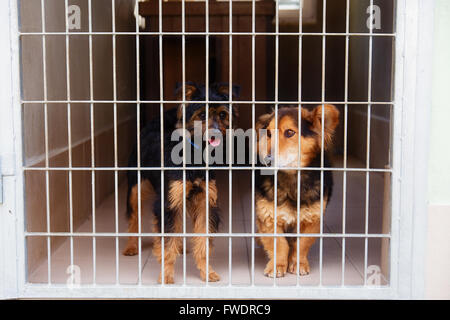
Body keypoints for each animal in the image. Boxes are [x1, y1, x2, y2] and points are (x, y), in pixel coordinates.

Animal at [123, 82, 239, 282]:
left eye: (223, 115)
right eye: (202, 115)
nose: (216, 132)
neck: (194, 154)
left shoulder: (204, 202)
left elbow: (202, 241)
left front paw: (207, 272)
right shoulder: (167, 203)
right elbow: (167, 245)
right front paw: (166, 276)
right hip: (136, 186)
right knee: (134, 216)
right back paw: (131, 246)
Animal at [255, 105, 340, 278]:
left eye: (289, 132)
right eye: (268, 134)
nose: (266, 161)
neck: (291, 179)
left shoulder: (313, 218)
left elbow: (301, 243)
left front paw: (298, 263)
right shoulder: (267, 215)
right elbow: (279, 244)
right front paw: (277, 265)